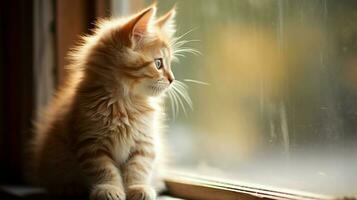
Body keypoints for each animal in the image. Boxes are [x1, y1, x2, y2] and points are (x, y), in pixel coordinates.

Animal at [28, 4, 178, 200]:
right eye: (158, 64)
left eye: (169, 64)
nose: (172, 79)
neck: (125, 104)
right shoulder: (91, 144)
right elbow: (105, 170)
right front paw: (109, 188)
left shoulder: (144, 142)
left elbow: (138, 168)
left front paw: (138, 187)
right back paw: (69, 187)